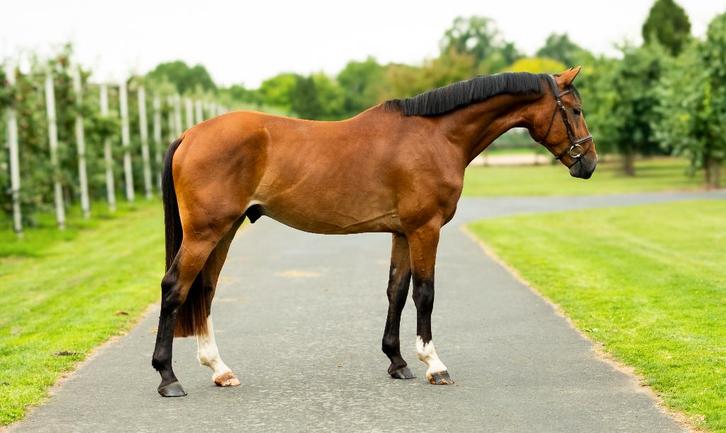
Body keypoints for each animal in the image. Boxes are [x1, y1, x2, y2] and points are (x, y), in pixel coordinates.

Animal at [151, 66, 597, 397]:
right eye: (575, 109)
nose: (588, 163)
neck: (436, 136)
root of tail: (190, 134)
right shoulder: (425, 229)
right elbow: (424, 293)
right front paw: (434, 365)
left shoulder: (402, 232)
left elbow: (396, 291)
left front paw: (397, 362)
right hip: (206, 232)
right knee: (175, 288)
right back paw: (168, 378)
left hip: (224, 231)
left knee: (205, 290)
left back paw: (219, 370)